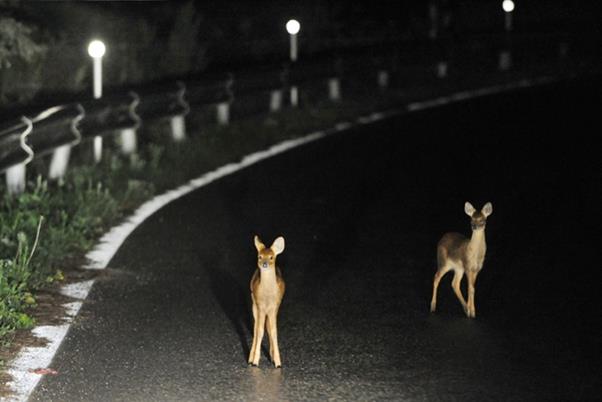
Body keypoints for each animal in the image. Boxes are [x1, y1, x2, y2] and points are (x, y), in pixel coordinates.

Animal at [248, 236, 286, 368]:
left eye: (271, 257)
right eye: (259, 256)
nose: (264, 264)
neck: (268, 296)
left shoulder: (274, 307)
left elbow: (273, 332)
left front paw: (278, 362)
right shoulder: (260, 306)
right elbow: (259, 331)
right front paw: (255, 361)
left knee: (268, 329)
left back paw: (272, 356)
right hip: (254, 305)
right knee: (256, 329)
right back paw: (250, 358)